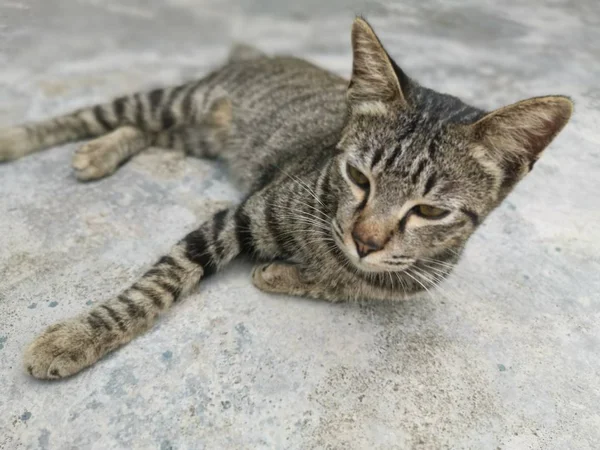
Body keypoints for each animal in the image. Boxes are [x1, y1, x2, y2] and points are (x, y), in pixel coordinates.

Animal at [0, 18, 572, 380]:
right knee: (97, 114)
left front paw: (287, 274)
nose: (365, 240)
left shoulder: (399, 281)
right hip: (179, 101)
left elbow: (349, 286)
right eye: (358, 177)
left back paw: (101, 152)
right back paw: (24, 140)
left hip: (201, 135)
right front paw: (78, 337)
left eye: (430, 210)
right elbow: (160, 282)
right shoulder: (241, 212)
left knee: (146, 132)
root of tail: (260, 55)